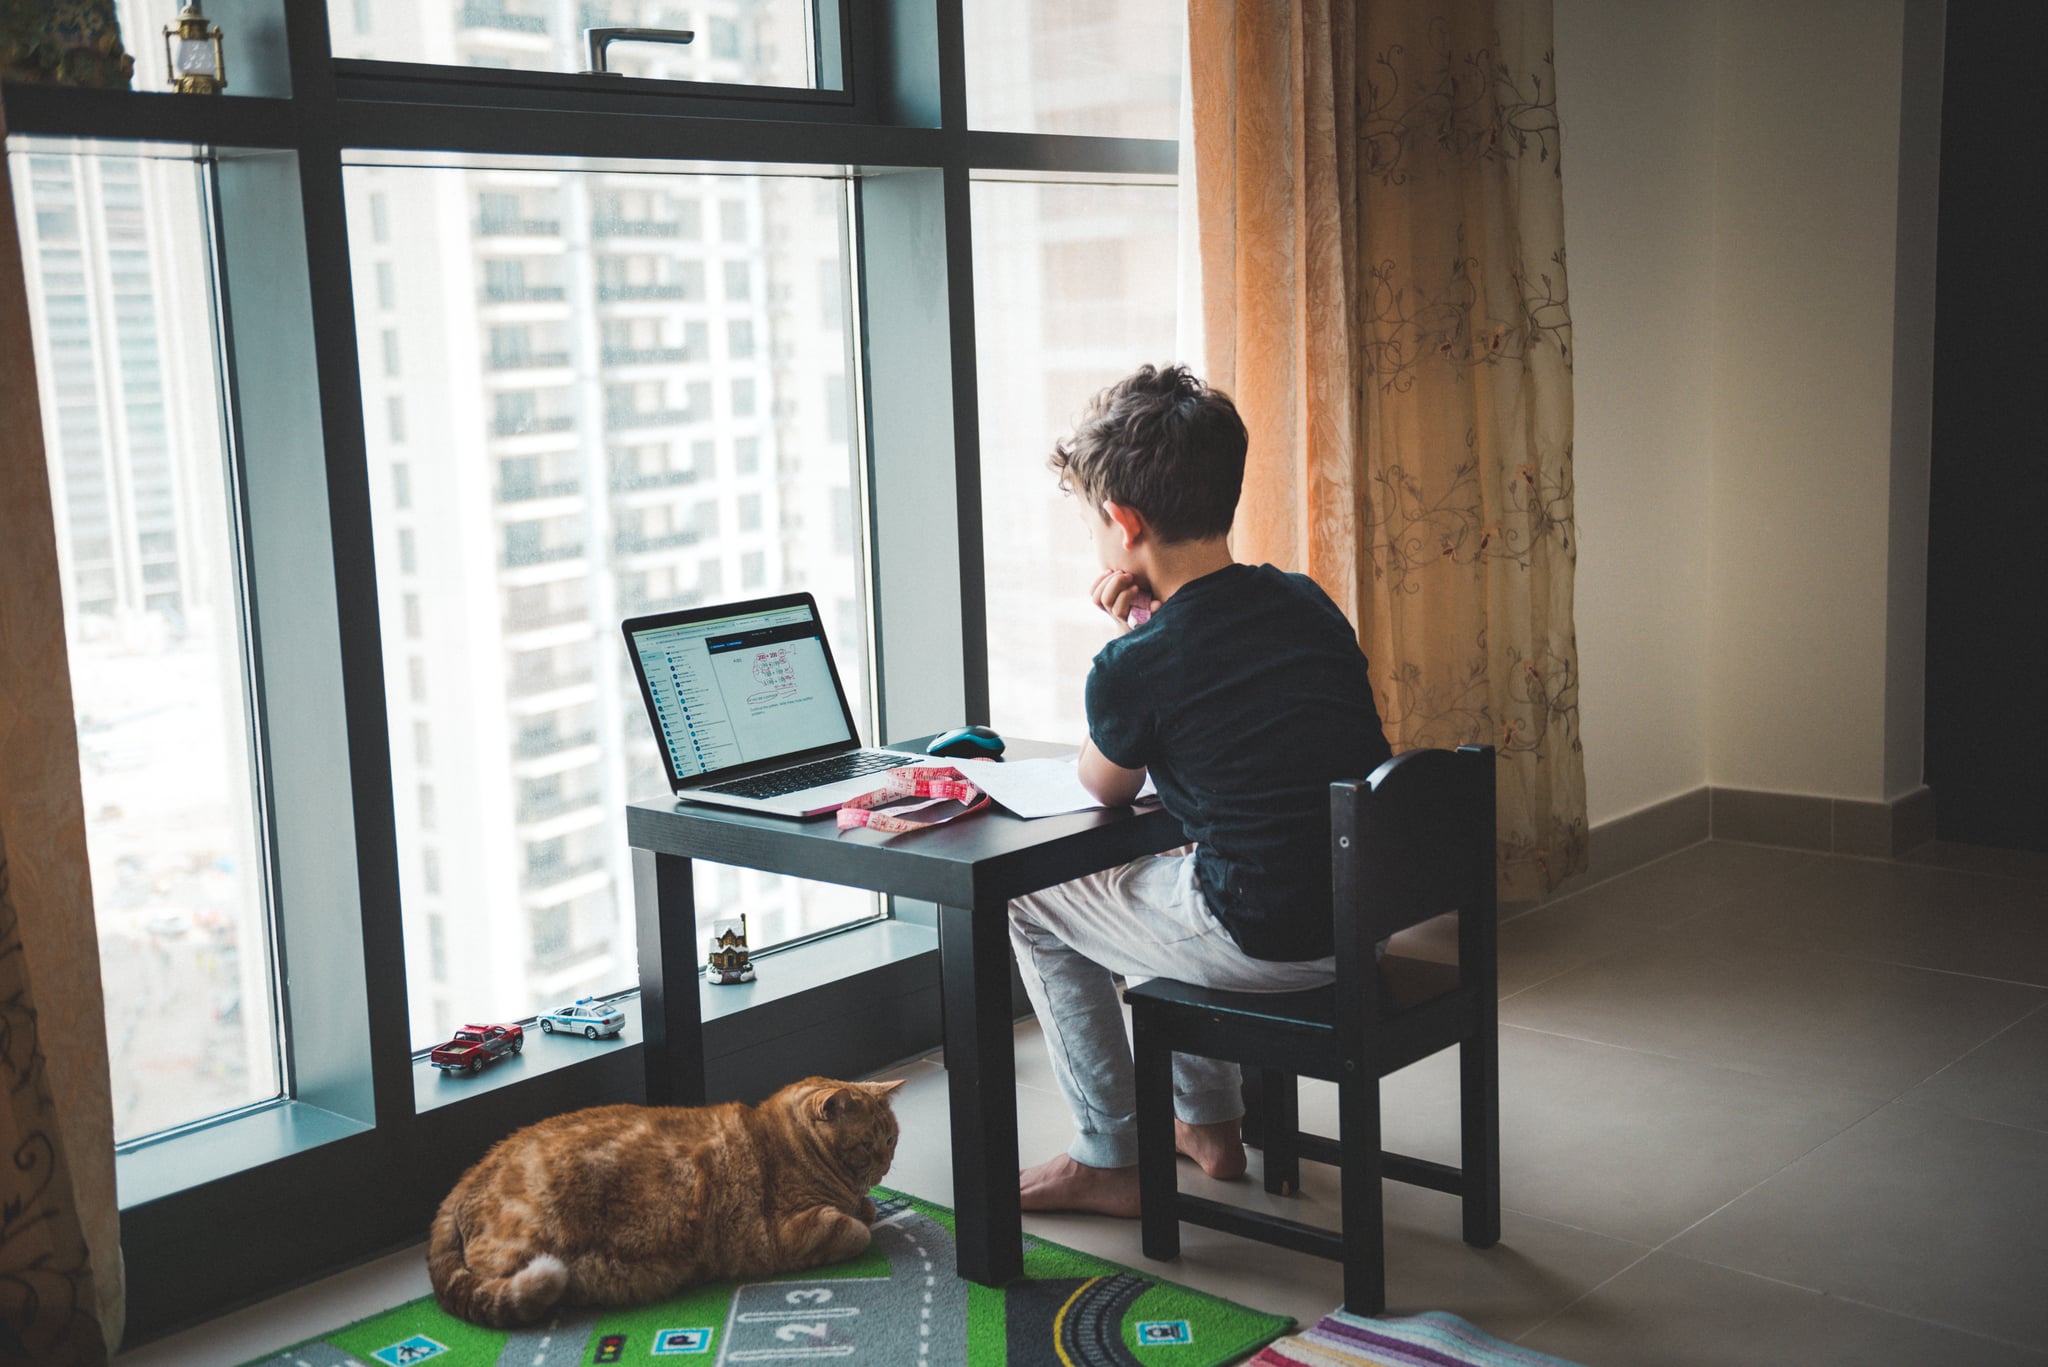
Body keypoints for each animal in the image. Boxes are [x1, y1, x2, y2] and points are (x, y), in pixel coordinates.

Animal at [428, 1073, 901, 1328]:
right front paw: (861, 1217)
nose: (885, 1164)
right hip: (533, 1242)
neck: (791, 1145)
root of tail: (467, 1178)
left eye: (892, 1139)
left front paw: (867, 1203)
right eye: (867, 1144)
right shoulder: (783, 1234)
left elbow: (865, 1207)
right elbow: (855, 1230)